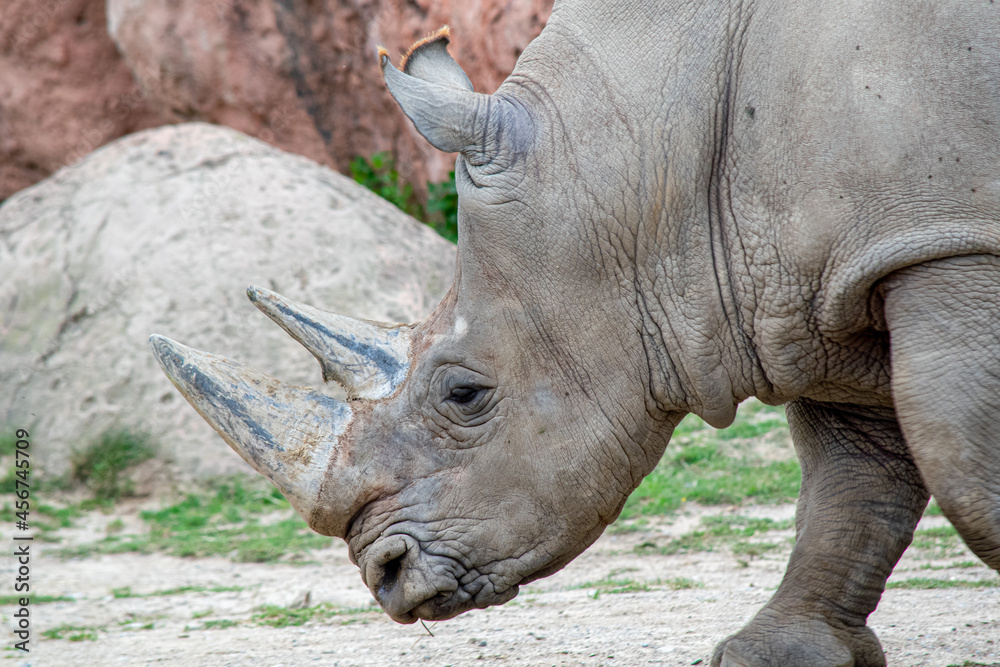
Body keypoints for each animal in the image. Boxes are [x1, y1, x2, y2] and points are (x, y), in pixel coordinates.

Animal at [150, 2, 1000, 664]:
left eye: (464, 393)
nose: (386, 571)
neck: (654, 143)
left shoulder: (940, 241)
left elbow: (954, 452)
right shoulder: (826, 277)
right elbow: (853, 477)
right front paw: (778, 653)